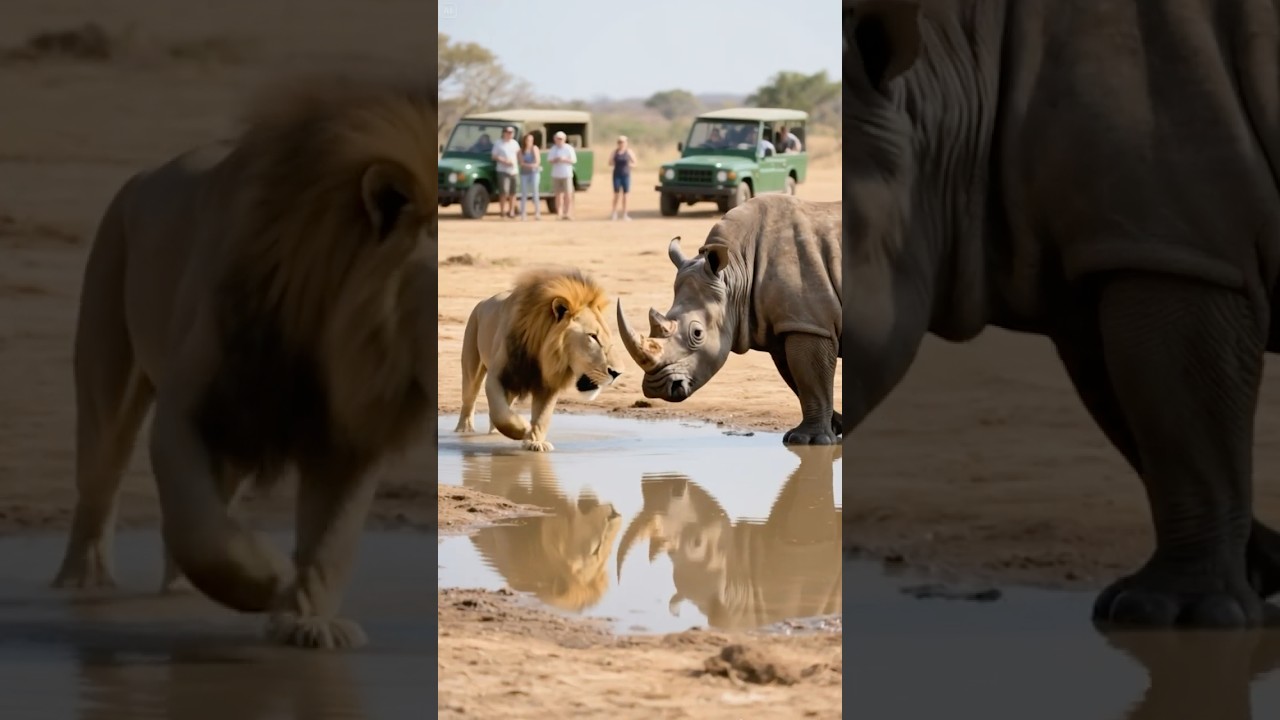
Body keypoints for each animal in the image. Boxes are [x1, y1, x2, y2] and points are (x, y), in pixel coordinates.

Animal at [49, 72, 436, 650]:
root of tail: (140, 179)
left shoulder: (347, 432)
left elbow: (332, 540)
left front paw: (308, 622)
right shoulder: (189, 410)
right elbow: (201, 530)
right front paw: (270, 579)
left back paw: (179, 589)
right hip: (109, 354)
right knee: (100, 479)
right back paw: (83, 582)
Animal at [454, 267, 625, 452]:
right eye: (593, 337)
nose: (617, 373)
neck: (542, 354)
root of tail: (483, 302)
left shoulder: (548, 384)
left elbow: (542, 416)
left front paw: (535, 442)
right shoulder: (497, 376)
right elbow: (501, 414)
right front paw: (522, 429)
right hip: (472, 363)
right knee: (469, 399)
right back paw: (464, 430)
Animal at [617, 194, 842, 445]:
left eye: (697, 334)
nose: (656, 389)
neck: (736, 272)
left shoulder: (809, 323)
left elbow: (811, 380)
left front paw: (807, 440)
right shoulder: (788, 326)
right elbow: (799, 380)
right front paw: (836, 427)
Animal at [842, 0, 1280, 628]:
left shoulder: (1182, 247)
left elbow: (1184, 426)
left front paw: (1175, 614)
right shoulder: (1109, 261)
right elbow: (1147, 424)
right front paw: (1261, 568)